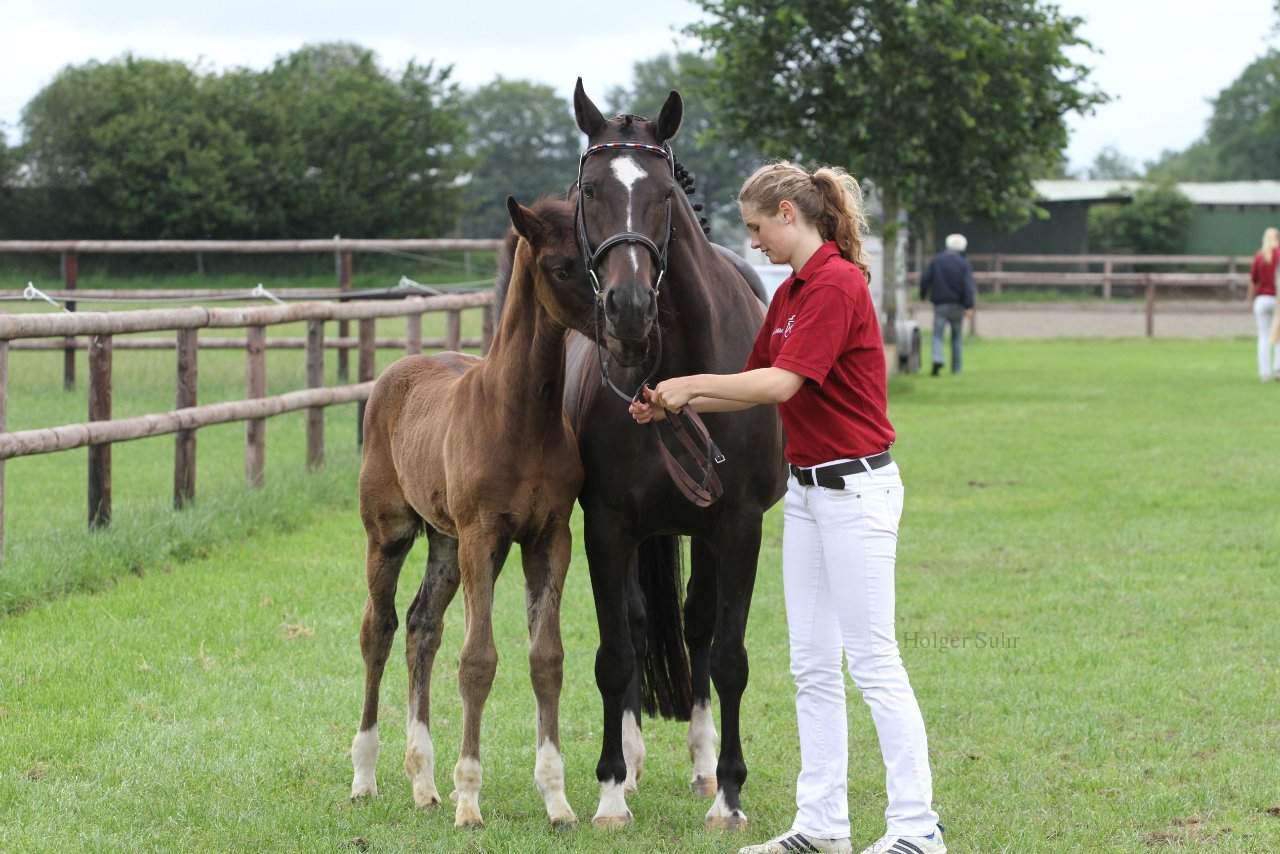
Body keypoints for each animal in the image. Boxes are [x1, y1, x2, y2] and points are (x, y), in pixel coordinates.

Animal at [348, 198, 591, 829]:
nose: (631, 318)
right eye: (560, 265)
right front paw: (470, 801)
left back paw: (424, 783)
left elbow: (547, 658)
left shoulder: (549, 537)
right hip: (390, 532)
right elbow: (478, 661)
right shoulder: (483, 536)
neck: (521, 418)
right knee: (379, 628)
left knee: (421, 626)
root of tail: (395, 372)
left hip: (444, 541)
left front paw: (557, 800)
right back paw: (365, 776)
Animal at [570, 78, 788, 829]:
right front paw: (610, 790)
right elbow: (615, 654)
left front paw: (728, 793)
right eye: (589, 190)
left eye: (663, 193)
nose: (629, 308)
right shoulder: (606, 525)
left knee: (696, 629)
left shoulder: (737, 524)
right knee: (641, 629)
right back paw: (635, 763)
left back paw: (701, 765)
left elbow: (727, 658)